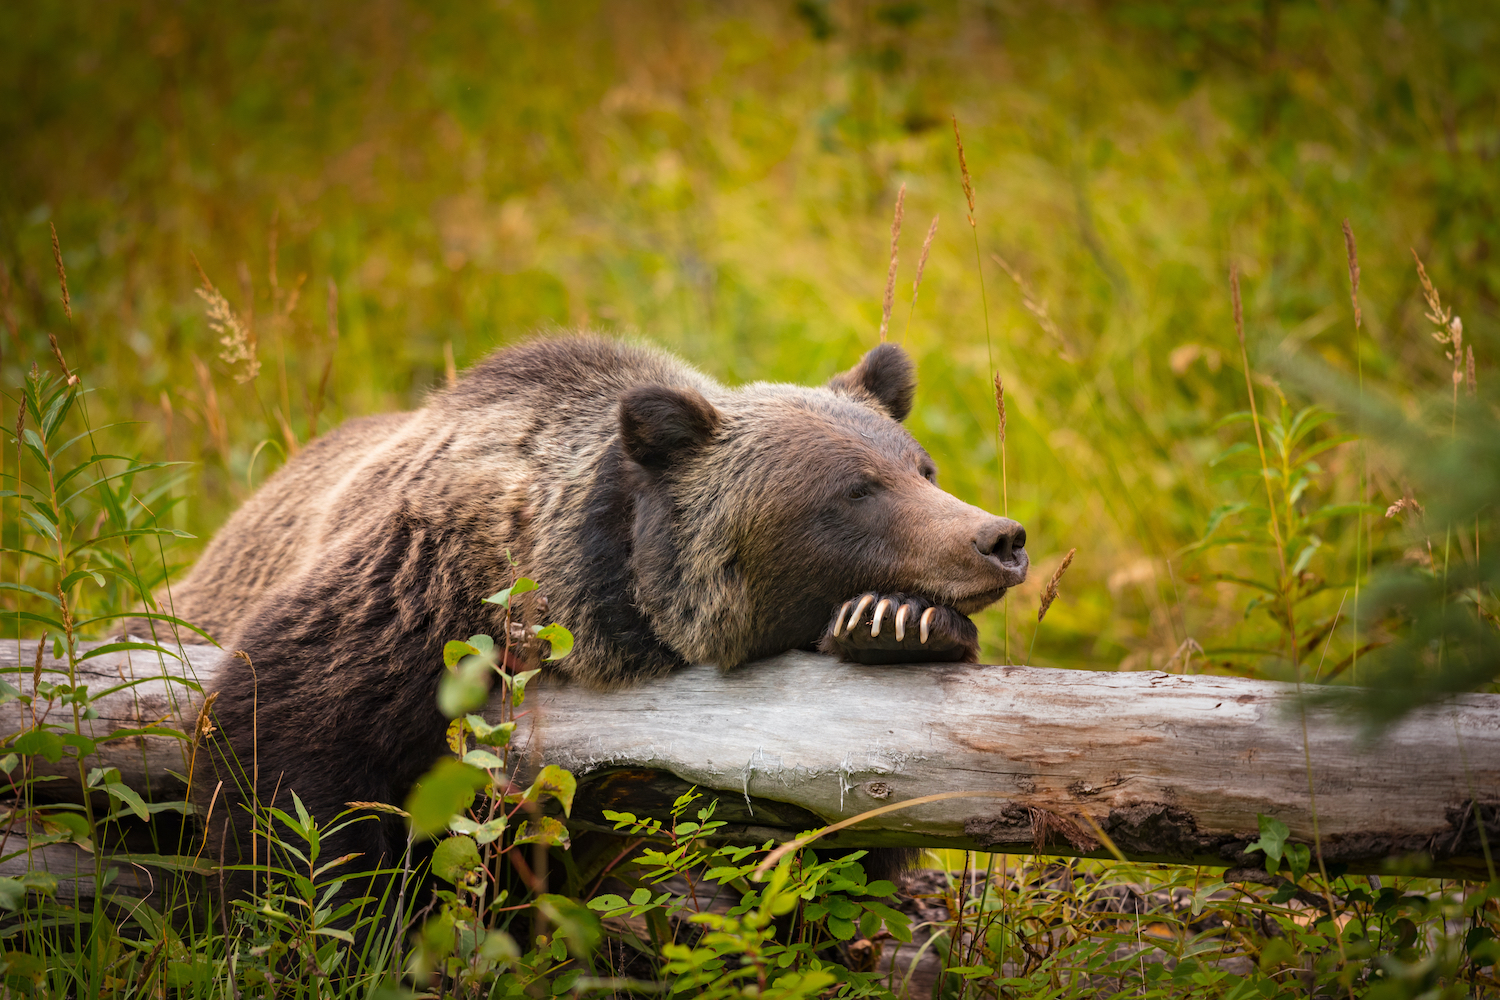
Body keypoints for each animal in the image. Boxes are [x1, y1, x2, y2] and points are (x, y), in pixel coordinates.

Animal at [167, 335, 1028, 901]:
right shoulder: (416, 593)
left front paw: (895, 625)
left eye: (922, 468)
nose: (999, 538)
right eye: (855, 490)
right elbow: (284, 745)